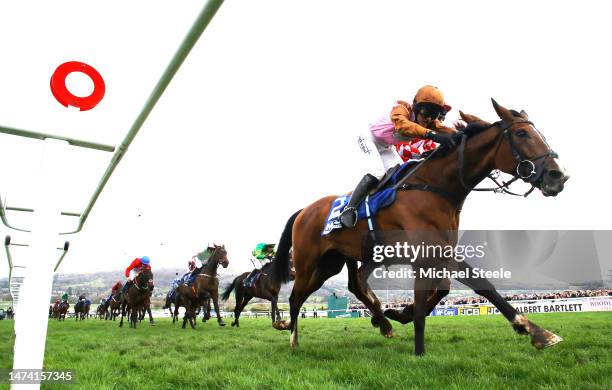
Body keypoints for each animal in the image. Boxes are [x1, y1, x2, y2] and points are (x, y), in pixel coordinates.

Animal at [272, 99, 568, 354]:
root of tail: (304, 211)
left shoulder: (439, 252)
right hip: (310, 261)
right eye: (522, 134)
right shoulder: (429, 251)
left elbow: (451, 289)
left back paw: (383, 322)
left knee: (355, 285)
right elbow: (478, 284)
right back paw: (292, 337)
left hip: (338, 260)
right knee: (296, 297)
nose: (558, 176)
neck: (436, 186)